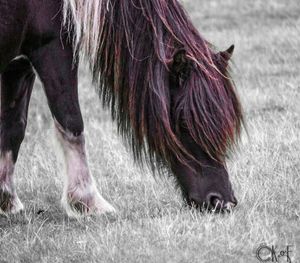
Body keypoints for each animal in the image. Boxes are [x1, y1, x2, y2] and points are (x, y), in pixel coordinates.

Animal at [0, 0, 243, 218]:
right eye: (184, 122)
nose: (222, 201)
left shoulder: (19, 66)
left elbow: (13, 129)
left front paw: (8, 200)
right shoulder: (54, 49)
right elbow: (72, 123)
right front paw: (88, 202)